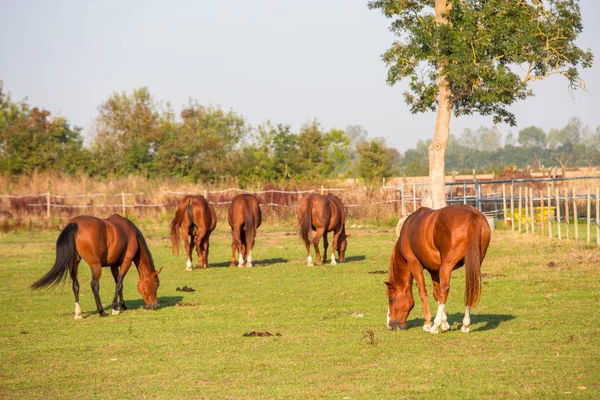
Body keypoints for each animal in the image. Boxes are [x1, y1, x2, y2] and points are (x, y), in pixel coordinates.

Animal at [30, 214, 162, 320]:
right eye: (157, 284)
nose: (154, 305)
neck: (131, 234)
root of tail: (74, 223)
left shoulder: (114, 265)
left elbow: (118, 283)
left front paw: (122, 305)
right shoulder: (126, 262)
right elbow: (119, 284)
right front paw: (115, 308)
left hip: (74, 263)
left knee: (75, 285)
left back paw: (78, 313)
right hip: (96, 266)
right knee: (94, 285)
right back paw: (102, 311)